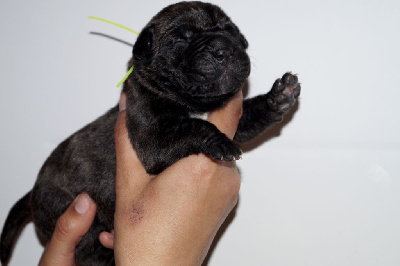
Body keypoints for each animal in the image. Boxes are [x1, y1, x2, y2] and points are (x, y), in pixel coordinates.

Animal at [0, 1, 300, 264]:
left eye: (232, 33)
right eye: (179, 39)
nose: (223, 48)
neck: (194, 103)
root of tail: (32, 194)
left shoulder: (234, 121)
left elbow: (249, 115)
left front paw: (277, 98)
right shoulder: (153, 139)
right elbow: (195, 125)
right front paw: (218, 142)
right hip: (76, 217)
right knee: (88, 248)